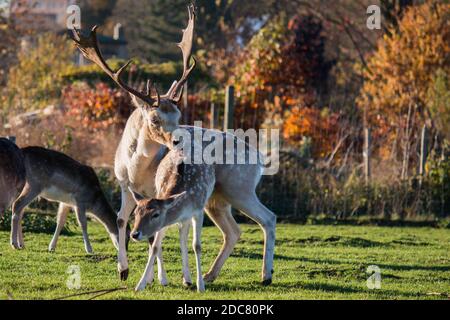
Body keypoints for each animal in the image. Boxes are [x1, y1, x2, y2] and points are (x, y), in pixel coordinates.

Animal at [73, 2, 278, 286]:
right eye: (154, 118)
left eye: (179, 116)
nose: (180, 139)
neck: (136, 170)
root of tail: (259, 157)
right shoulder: (124, 184)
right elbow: (122, 219)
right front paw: (123, 270)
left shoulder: (158, 192)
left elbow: (157, 232)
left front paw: (159, 278)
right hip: (218, 198)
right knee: (234, 230)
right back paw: (210, 274)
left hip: (240, 187)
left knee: (268, 217)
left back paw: (265, 275)